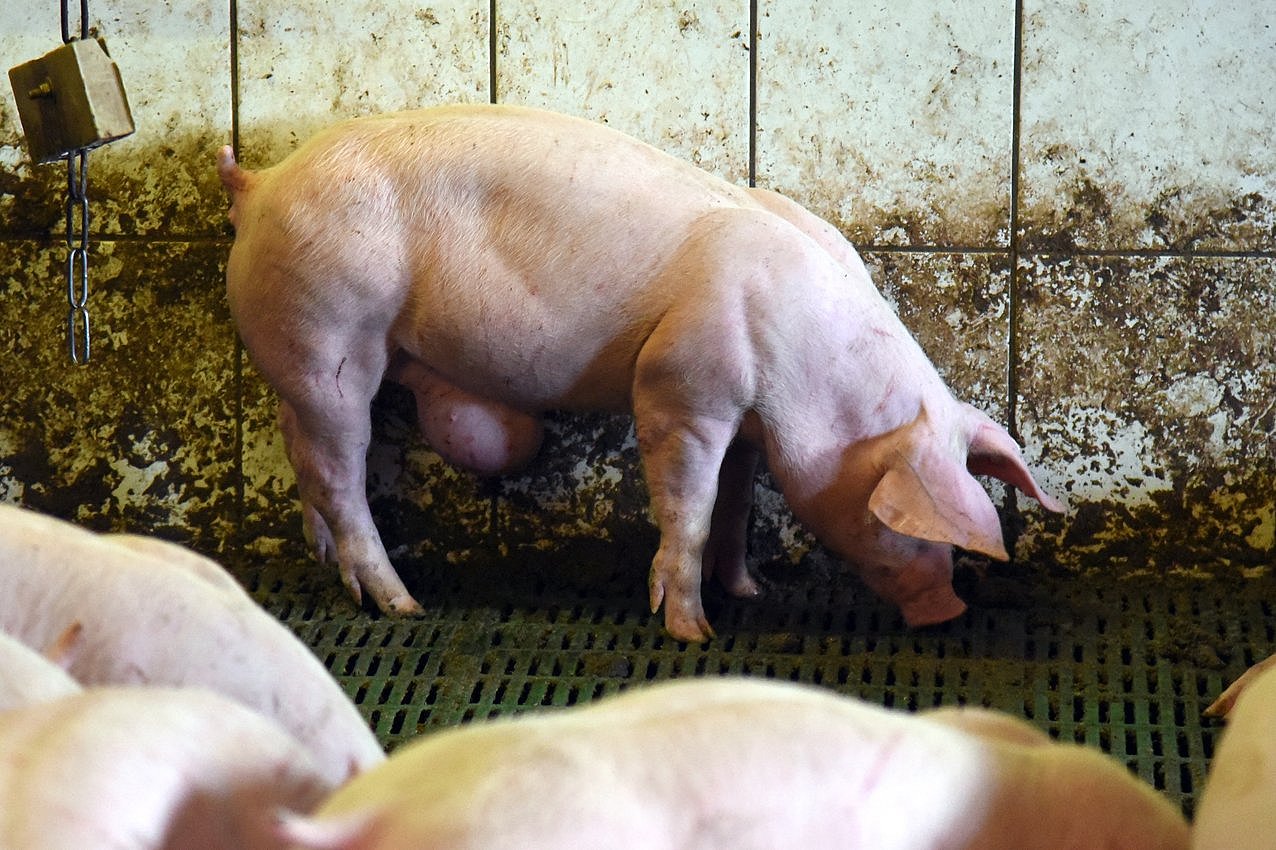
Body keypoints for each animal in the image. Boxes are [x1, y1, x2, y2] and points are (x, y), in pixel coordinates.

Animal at [214, 102, 1061, 638]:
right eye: (898, 522)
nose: (948, 611)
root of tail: (258, 185)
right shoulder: (682, 387)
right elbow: (688, 507)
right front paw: (693, 632)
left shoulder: (746, 422)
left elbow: (735, 503)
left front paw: (747, 588)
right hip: (327, 331)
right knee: (341, 471)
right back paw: (401, 606)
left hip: (306, 356)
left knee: (301, 453)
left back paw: (332, 565)